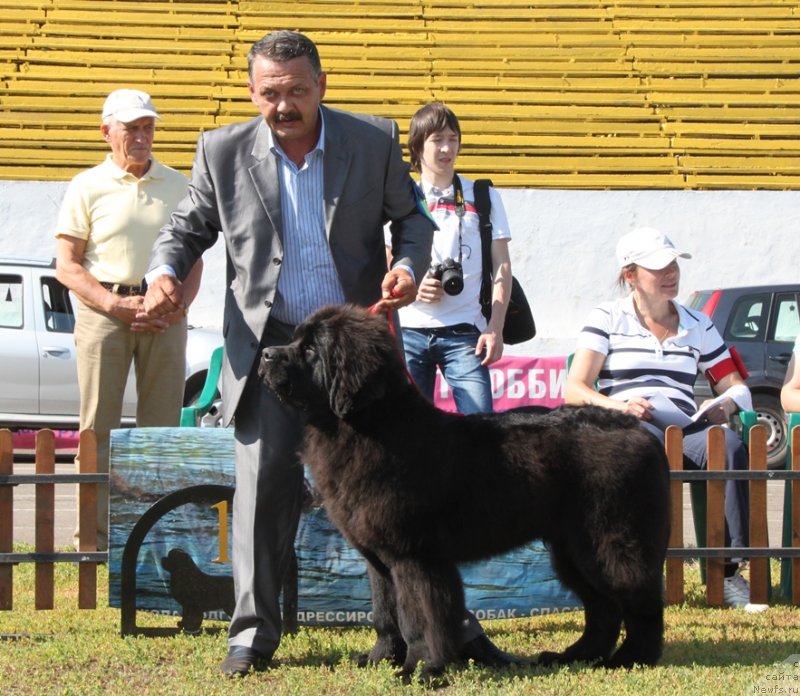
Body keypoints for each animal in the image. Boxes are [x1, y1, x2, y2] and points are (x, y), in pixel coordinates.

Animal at [260, 304, 672, 680]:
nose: (265, 354)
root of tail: (640, 431)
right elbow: (384, 612)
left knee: (640, 601)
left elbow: (417, 617)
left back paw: (631, 658)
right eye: (295, 340)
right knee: (602, 606)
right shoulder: (379, 557)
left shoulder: (414, 554)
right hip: (572, 549)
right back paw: (576, 656)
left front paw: (420, 669)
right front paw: (380, 659)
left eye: (310, 350)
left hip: (611, 541)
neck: (369, 426)